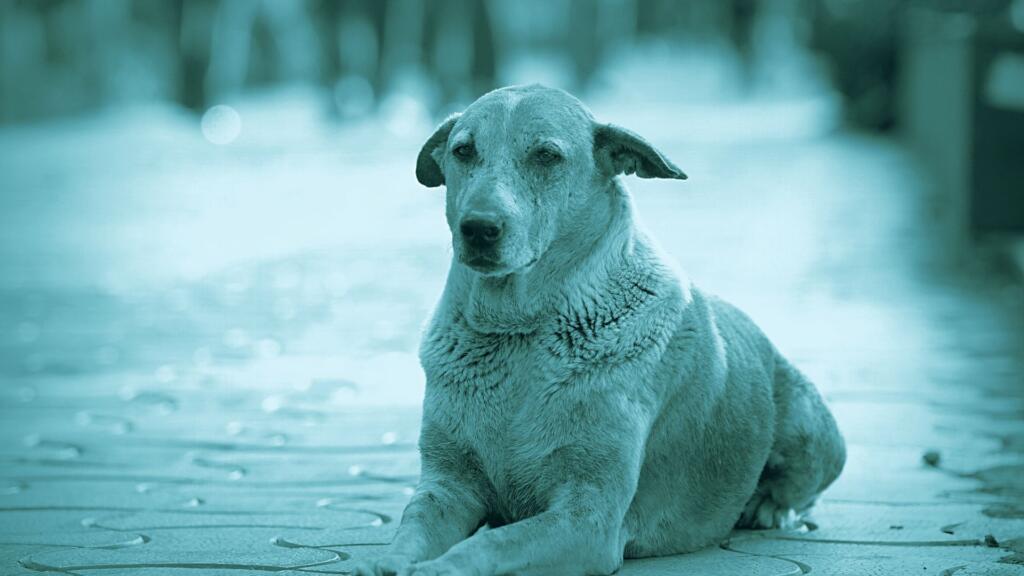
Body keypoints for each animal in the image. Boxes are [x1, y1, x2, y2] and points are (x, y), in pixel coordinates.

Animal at [356, 85, 843, 573]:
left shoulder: (588, 518)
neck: (520, 332)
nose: (477, 228)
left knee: (802, 491)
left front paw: (442, 566)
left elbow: (492, 543)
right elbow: (411, 528)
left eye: (547, 155)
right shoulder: (447, 486)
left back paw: (767, 506)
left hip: (806, 429)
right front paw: (388, 563)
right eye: (463, 151)